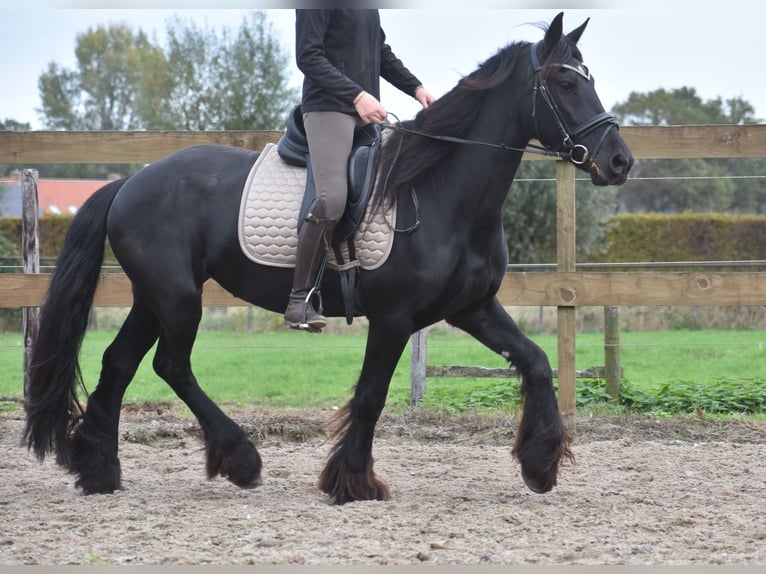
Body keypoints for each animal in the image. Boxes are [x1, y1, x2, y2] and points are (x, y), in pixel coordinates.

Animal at [24, 13, 633, 504]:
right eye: (563, 82)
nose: (619, 162)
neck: (437, 190)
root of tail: (130, 182)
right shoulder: (393, 319)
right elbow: (370, 396)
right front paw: (353, 483)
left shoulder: (472, 308)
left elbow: (536, 361)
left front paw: (540, 464)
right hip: (176, 297)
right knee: (170, 365)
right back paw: (240, 460)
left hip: (154, 297)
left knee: (119, 363)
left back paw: (99, 471)